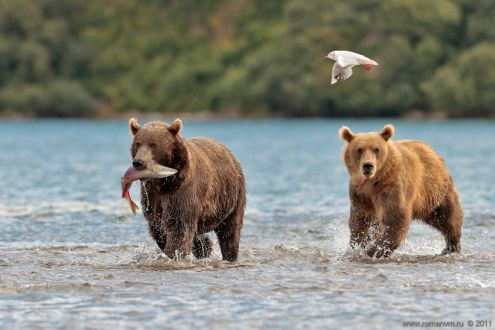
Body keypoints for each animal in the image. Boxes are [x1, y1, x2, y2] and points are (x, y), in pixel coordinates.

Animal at [127, 117, 245, 262]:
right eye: (138, 143)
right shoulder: (152, 195)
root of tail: (230, 153)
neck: (162, 181)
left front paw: (173, 254)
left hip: (232, 197)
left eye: (153, 144)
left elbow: (179, 225)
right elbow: (157, 226)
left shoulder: (181, 190)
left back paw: (229, 254)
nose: (139, 162)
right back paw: (204, 248)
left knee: (230, 232)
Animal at [340, 124, 464, 258]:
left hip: (435, 192)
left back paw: (451, 247)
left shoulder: (391, 187)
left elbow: (394, 219)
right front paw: (356, 247)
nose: (368, 165)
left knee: (448, 217)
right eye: (359, 149)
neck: (372, 182)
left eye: (376, 149)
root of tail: (433, 151)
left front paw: (373, 251)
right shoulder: (360, 194)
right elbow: (360, 220)